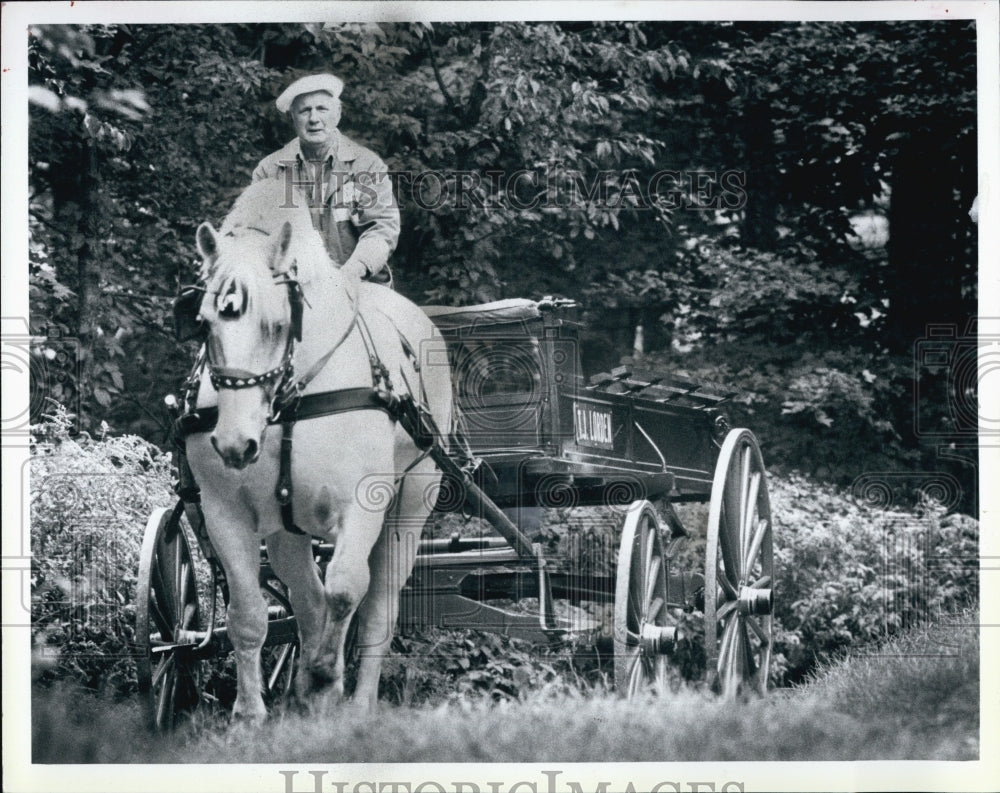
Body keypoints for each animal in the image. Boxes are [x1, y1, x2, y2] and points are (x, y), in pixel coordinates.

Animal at [184, 176, 454, 720]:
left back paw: (353, 703)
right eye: (203, 324)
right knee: (307, 602)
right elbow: (248, 614)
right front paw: (250, 713)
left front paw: (328, 681)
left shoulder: (363, 504)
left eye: (277, 322)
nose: (234, 443)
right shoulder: (225, 510)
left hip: (411, 505)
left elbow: (347, 591)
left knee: (377, 609)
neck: (292, 395)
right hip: (286, 529)